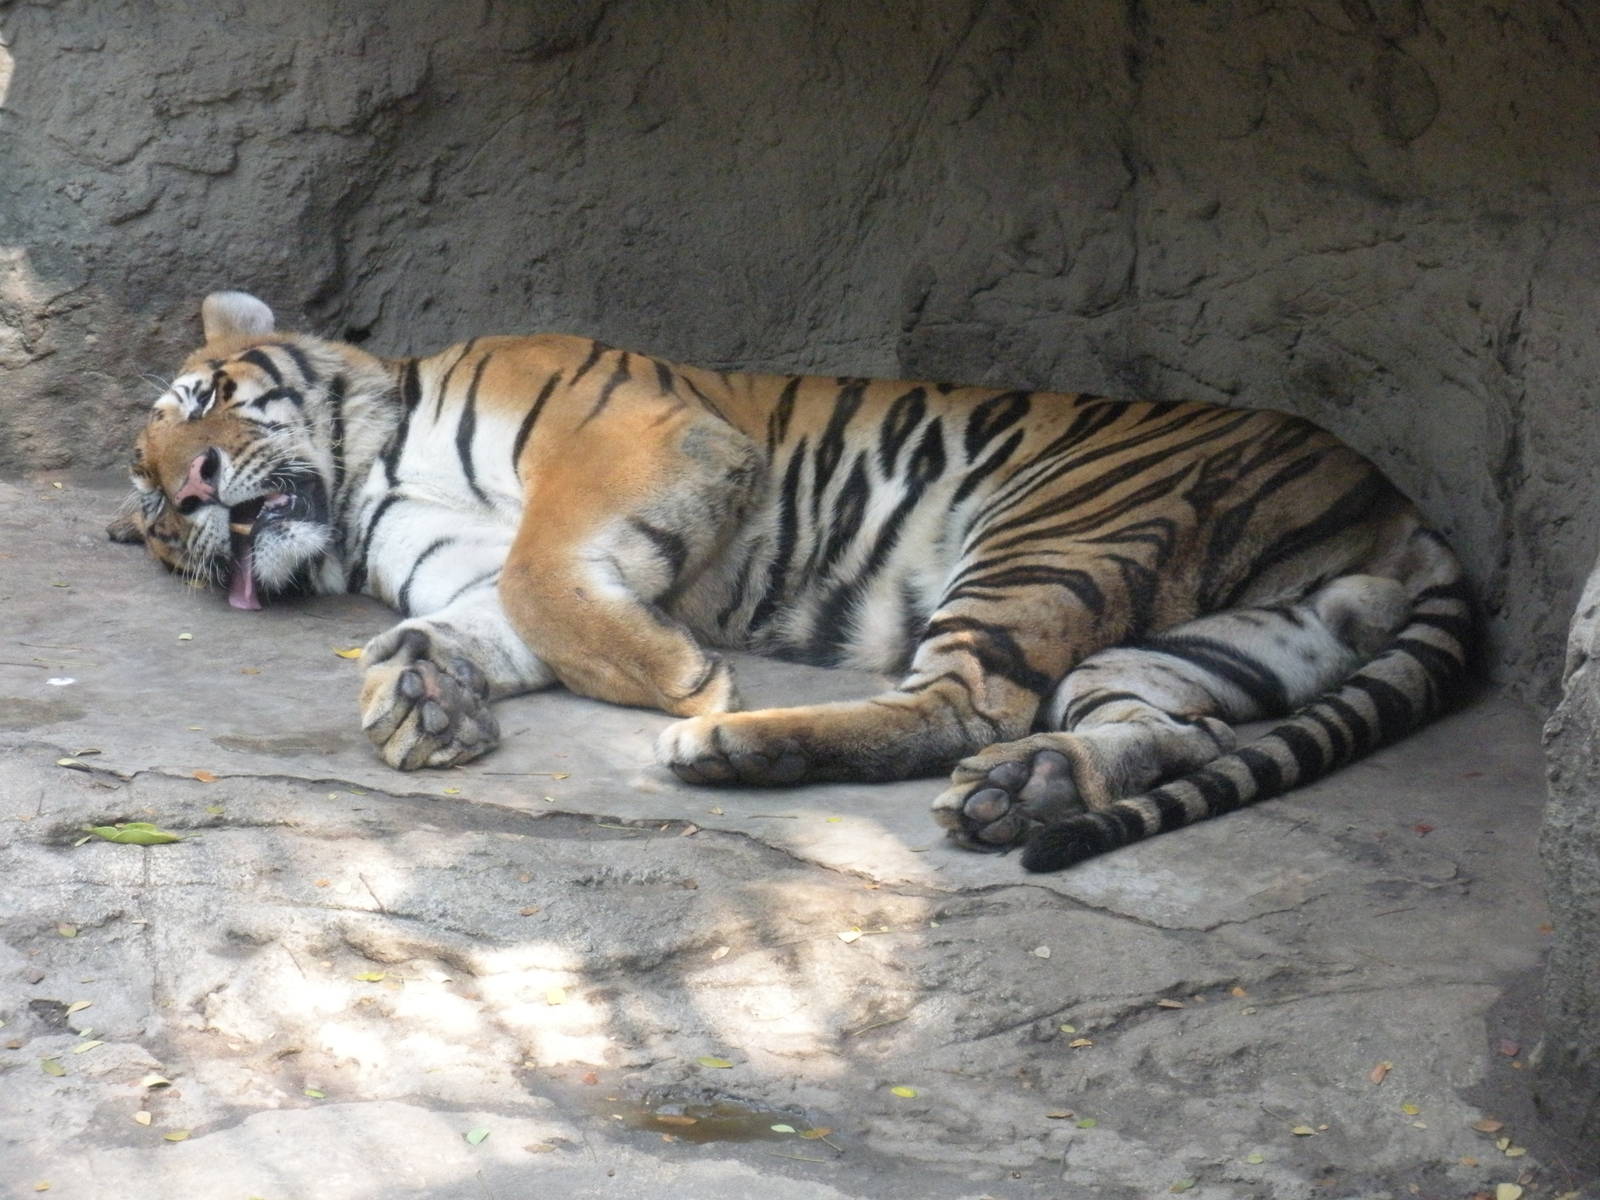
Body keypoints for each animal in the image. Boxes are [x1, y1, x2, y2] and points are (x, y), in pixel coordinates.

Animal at [109, 291, 1472, 873]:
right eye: (155, 506)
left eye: (206, 399)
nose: (193, 490)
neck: (363, 483)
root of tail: (1401, 510)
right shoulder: (474, 566)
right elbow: (493, 618)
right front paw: (423, 697)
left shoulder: (633, 437)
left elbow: (552, 578)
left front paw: (681, 681)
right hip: (1209, 637)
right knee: (1160, 734)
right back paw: (1024, 794)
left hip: (1054, 530)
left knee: (966, 704)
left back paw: (727, 742)